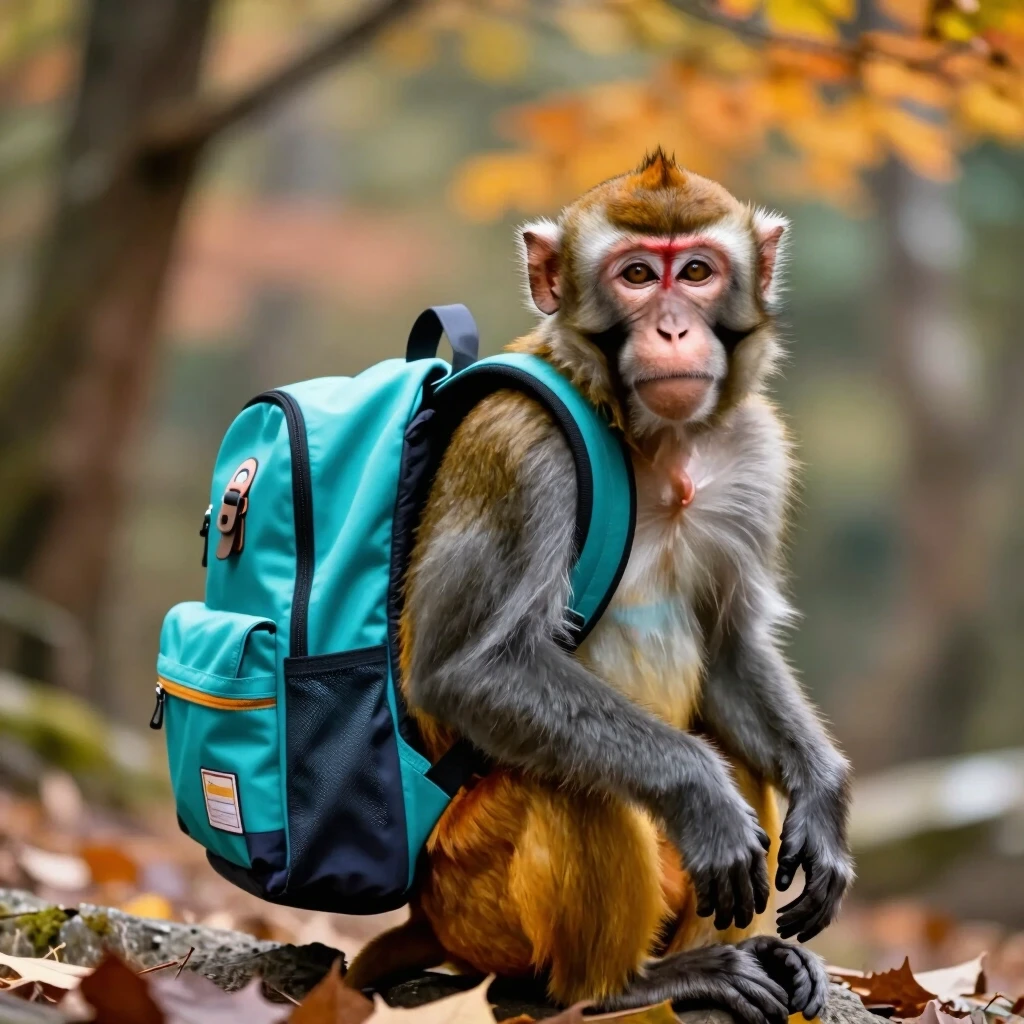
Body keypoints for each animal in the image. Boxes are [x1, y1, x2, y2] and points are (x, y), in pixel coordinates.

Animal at [346, 150, 853, 1023]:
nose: (674, 328)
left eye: (696, 272)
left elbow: (731, 647)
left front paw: (823, 799)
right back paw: (622, 988)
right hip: (475, 898)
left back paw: (736, 956)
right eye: (638, 275)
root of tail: (426, 919)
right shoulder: (522, 450)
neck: (652, 440)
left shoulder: (758, 452)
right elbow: (467, 670)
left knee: (732, 755)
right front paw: (699, 790)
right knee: (575, 781)